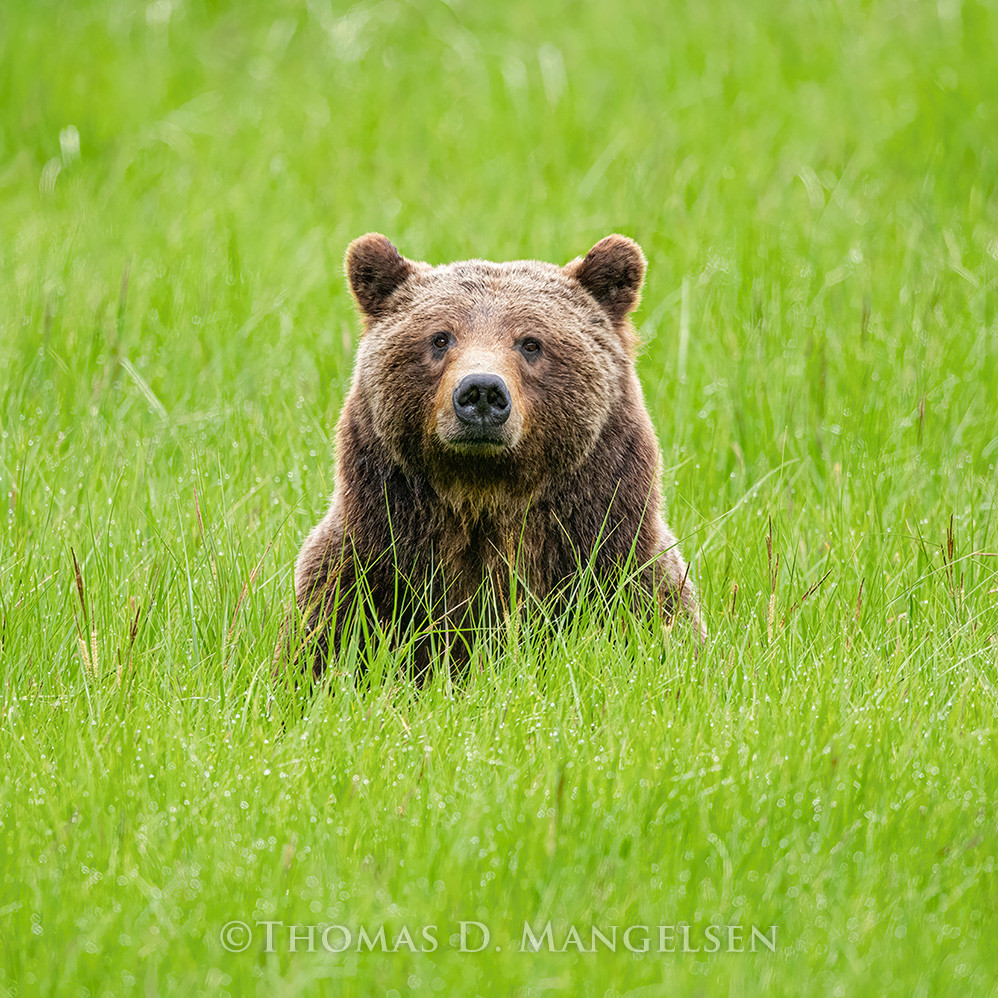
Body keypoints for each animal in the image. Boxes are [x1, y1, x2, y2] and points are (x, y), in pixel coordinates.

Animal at [285, 233, 704, 683]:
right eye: (440, 337)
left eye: (531, 342)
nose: (482, 391)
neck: (485, 495)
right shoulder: (364, 573)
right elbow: (321, 650)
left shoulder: (621, 569)